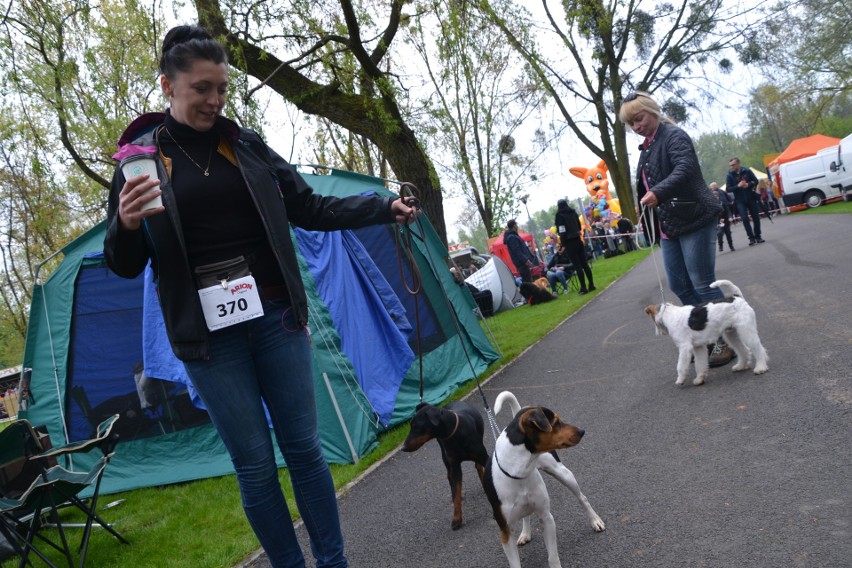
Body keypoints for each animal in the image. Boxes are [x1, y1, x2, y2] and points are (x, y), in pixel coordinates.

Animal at [402, 402, 490, 532]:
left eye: (416, 426)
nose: (402, 448)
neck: (455, 433)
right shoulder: (455, 467)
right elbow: (456, 495)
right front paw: (457, 519)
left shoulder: (484, 458)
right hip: (445, 457)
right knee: (450, 478)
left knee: (478, 467)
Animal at [482, 390, 604, 568]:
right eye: (556, 422)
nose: (582, 431)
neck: (519, 470)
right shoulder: (505, 532)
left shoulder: (547, 517)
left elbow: (552, 557)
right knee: (526, 515)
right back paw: (525, 533)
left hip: (563, 474)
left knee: (582, 498)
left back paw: (595, 521)